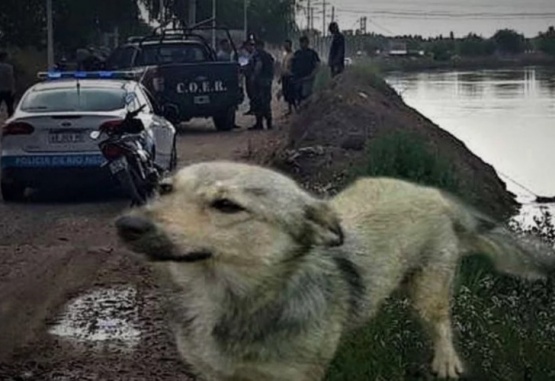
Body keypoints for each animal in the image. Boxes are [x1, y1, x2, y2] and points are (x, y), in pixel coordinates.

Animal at [115, 159, 552, 378]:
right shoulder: (213, 374)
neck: (225, 301)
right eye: (164, 188)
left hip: (430, 288)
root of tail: (432, 193)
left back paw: (446, 362)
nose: (127, 225)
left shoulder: (295, 376)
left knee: (441, 322)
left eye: (226, 205)